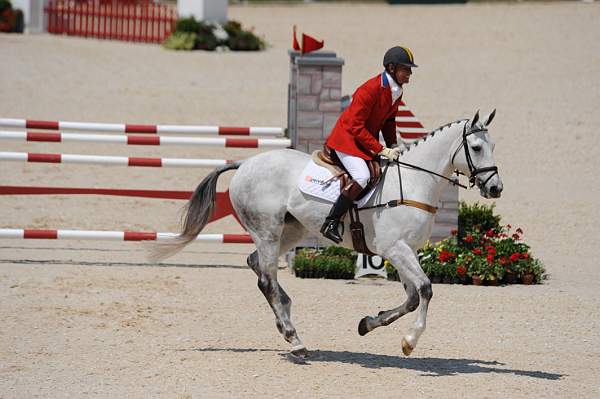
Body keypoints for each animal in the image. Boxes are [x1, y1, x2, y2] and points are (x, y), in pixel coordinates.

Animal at [149, 110, 502, 360]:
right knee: (265, 279)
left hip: (291, 230)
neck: (415, 183)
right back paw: (294, 340)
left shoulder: (406, 251)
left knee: (258, 266)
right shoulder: (396, 249)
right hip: (268, 230)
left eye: (493, 146)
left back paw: (287, 317)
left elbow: (413, 297)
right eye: (475, 147)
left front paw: (368, 324)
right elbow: (426, 291)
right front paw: (409, 342)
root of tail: (245, 164)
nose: (496, 188)